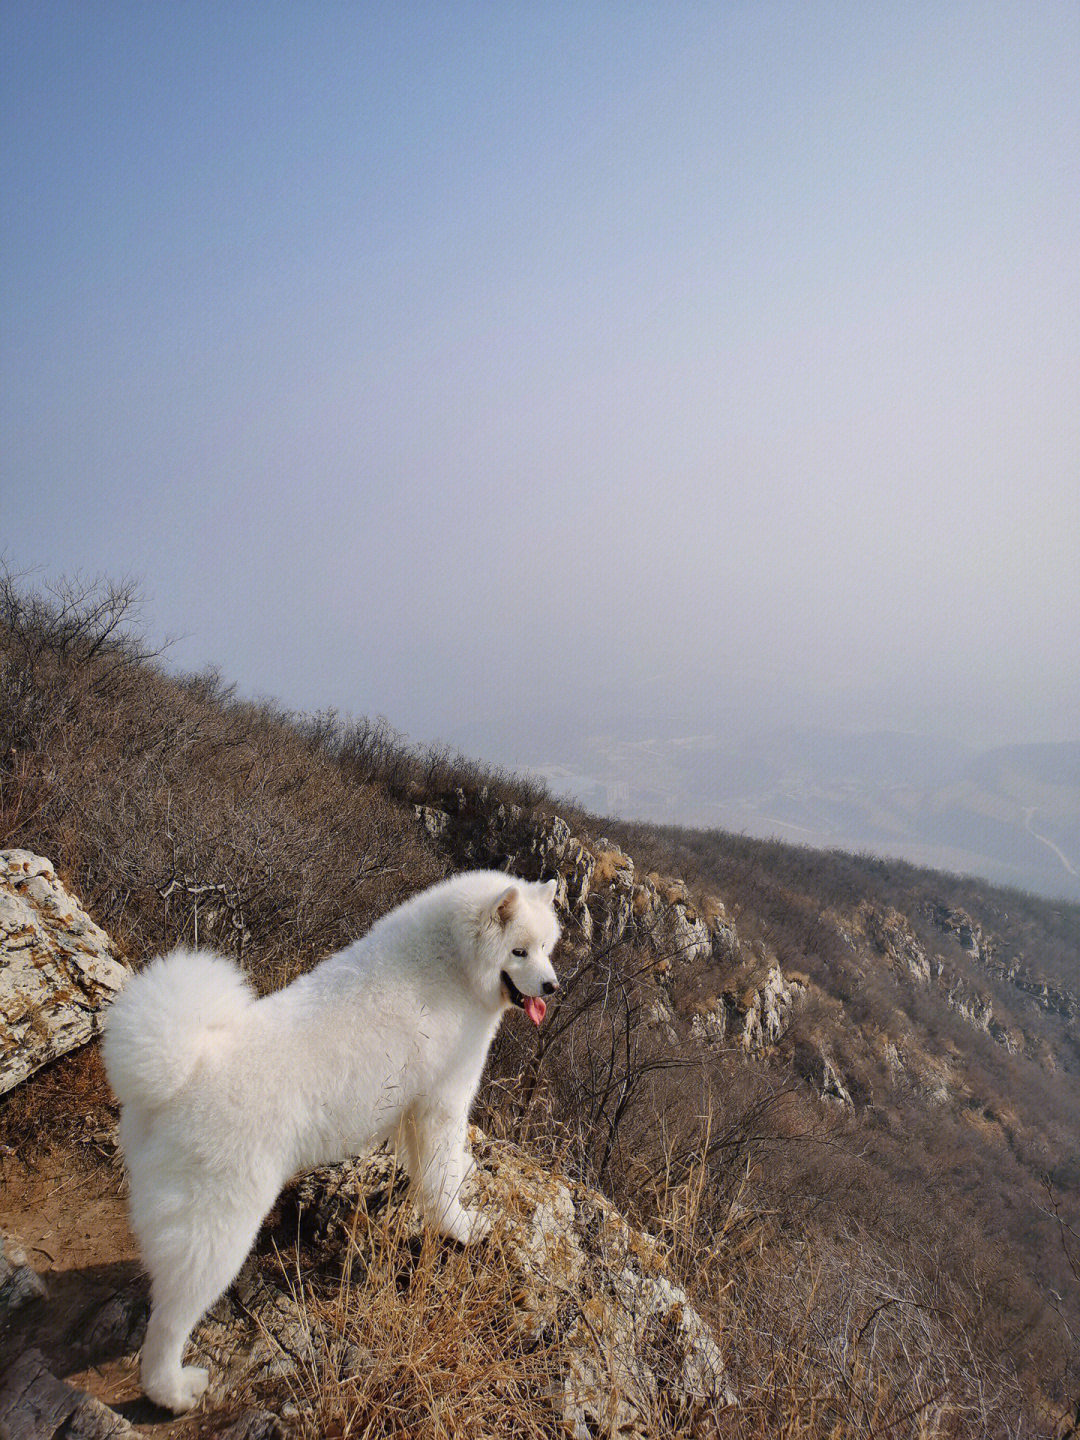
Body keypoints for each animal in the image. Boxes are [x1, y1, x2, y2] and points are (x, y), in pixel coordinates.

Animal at [102, 869, 561, 1411]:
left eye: (547, 947)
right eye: (519, 951)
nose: (553, 985)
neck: (450, 964)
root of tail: (174, 1076)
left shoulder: (410, 1112)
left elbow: (426, 1170)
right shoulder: (443, 1101)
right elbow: (443, 1178)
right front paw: (463, 1227)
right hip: (216, 1228)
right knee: (171, 1322)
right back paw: (175, 1391)